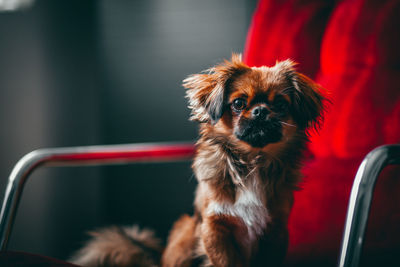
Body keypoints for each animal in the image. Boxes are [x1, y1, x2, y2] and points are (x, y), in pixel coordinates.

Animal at [71, 54, 324, 267]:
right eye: (239, 103)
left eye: (281, 105)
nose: (260, 111)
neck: (252, 161)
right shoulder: (214, 228)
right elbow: (225, 262)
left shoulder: (275, 231)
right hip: (184, 232)